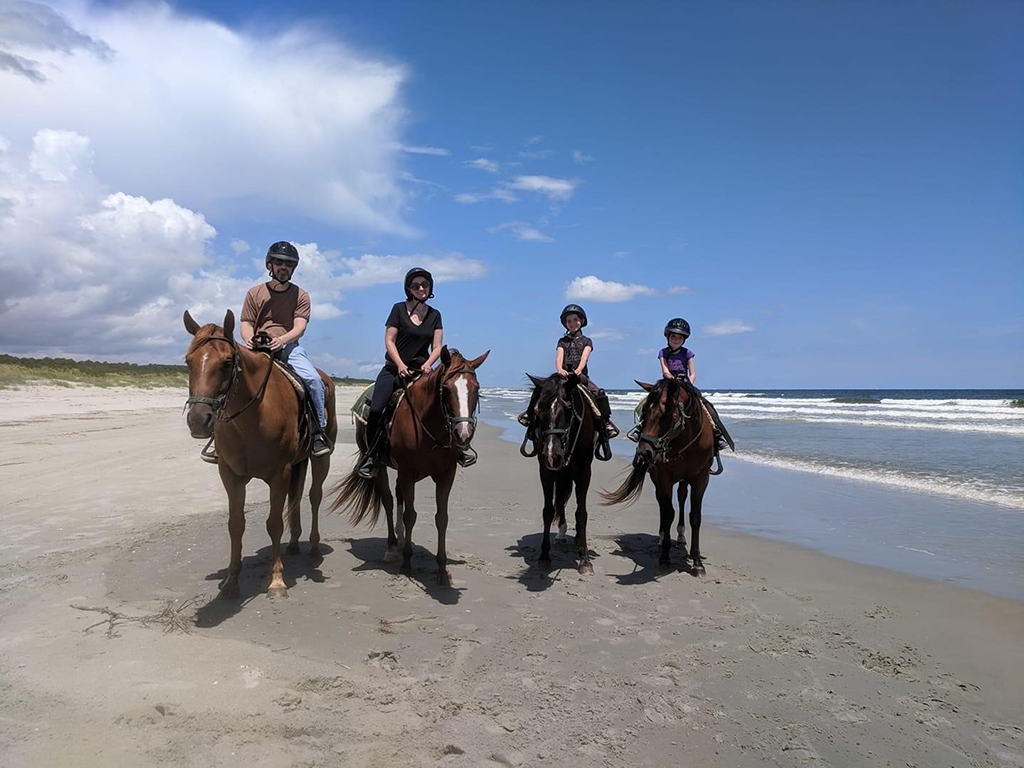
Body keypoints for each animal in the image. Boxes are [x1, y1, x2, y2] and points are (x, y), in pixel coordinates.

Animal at [183, 309, 338, 597]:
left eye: (227, 362)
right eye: (188, 361)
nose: (198, 421)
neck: (252, 417)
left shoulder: (279, 474)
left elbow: (274, 523)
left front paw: (276, 581)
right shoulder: (230, 475)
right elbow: (236, 525)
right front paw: (232, 581)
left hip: (321, 458)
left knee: (314, 496)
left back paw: (312, 547)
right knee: (296, 496)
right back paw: (293, 544)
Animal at [330, 346, 489, 586]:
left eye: (476, 388)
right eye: (446, 389)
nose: (463, 434)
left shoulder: (446, 474)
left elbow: (441, 518)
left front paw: (442, 570)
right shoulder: (408, 472)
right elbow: (410, 515)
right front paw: (406, 564)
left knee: (398, 497)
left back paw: (401, 537)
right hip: (380, 466)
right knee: (388, 500)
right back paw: (392, 548)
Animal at [521, 373, 599, 574]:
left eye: (568, 408)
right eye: (537, 410)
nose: (551, 455)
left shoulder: (584, 472)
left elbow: (581, 513)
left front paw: (585, 560)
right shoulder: (546, 471)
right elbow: (548, 510)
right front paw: (544, 557)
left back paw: (578, 540)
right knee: (561, 501)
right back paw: (562, 536)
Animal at [600, 378, 714, 575]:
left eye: (666, 415)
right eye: (644, 412)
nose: (644, 453)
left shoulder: (701, 478)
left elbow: (695, 517)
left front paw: (697, 562)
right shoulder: (663, 477)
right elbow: (668, 512)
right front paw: (665, 557)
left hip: (684, 480)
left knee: (682, 497)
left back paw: (681, 536)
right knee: (662, 502)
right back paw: (662, 538)